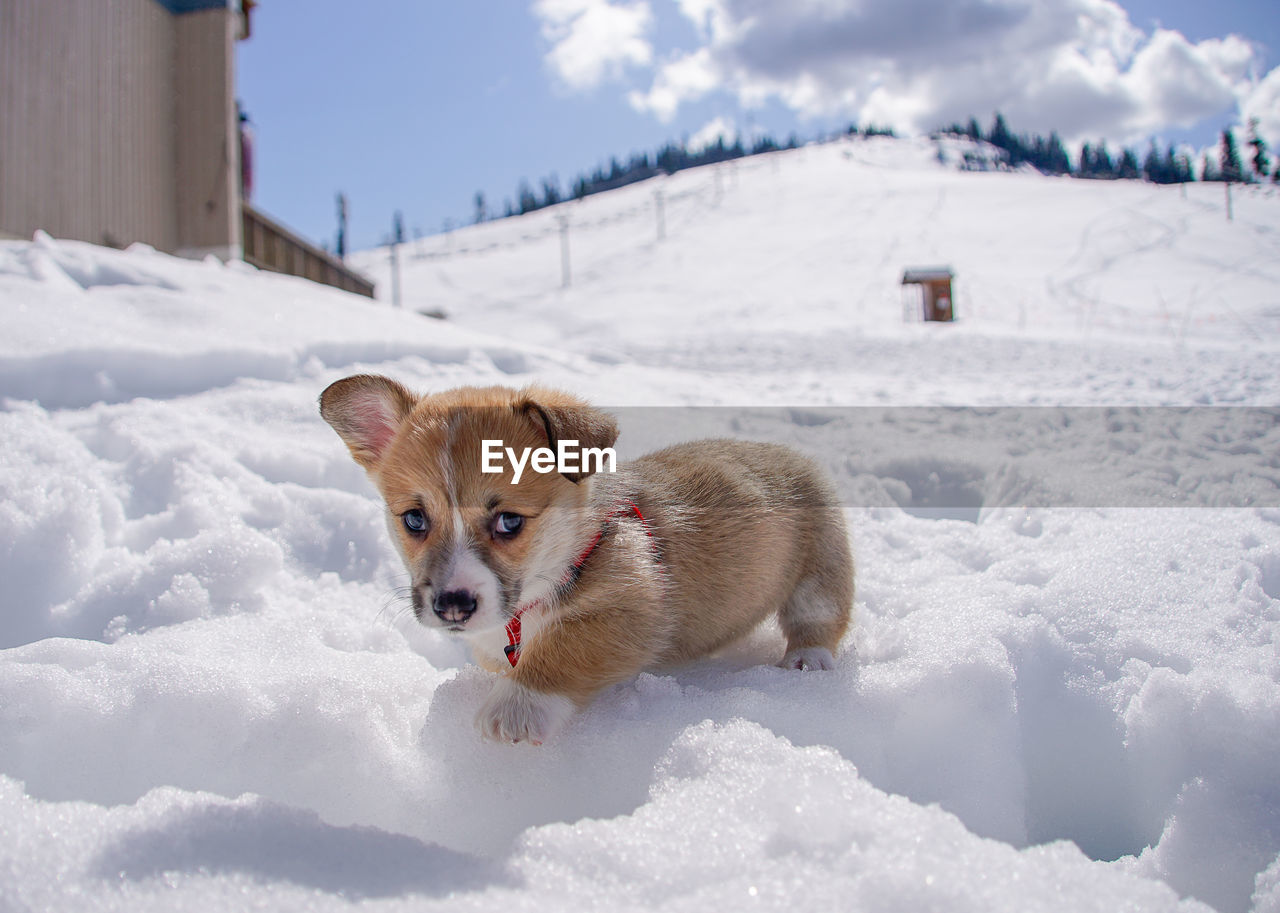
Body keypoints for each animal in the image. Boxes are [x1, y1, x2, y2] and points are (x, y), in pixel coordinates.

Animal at [320, 373, 855, 742]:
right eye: (414, 519)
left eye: (509, 521)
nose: (452, 607)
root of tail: (791, 454)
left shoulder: (633, 609)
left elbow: (563, 648)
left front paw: (517, 708)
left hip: (821, 567)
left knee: (820, 615)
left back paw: (807, 660)